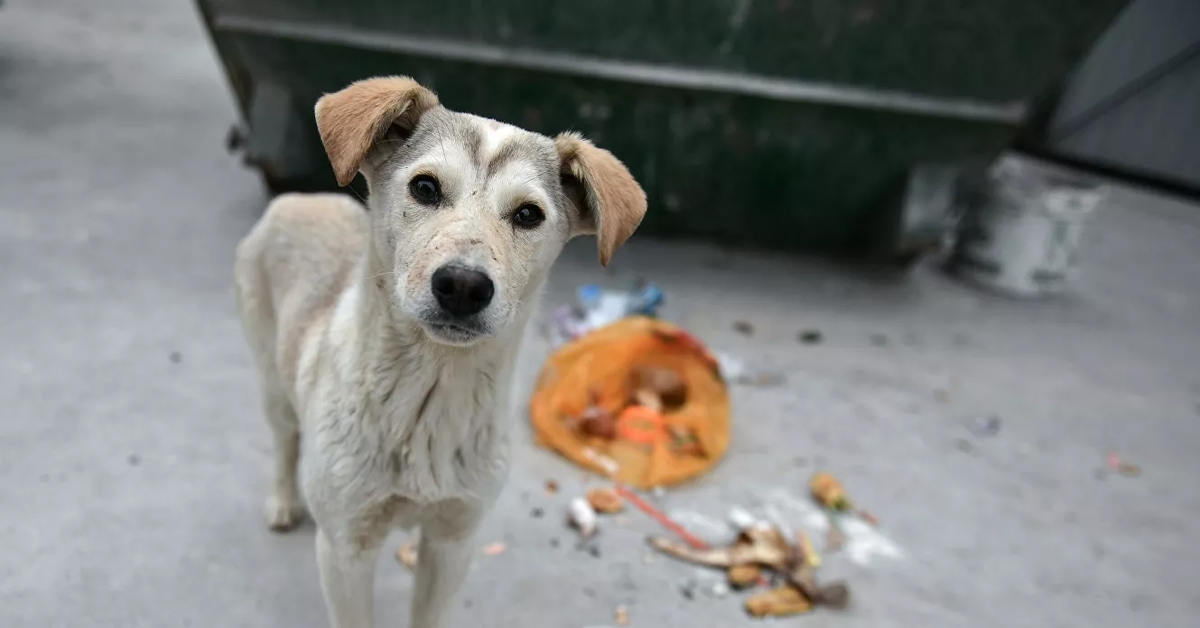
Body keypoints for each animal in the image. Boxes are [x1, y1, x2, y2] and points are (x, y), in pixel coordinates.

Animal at [234, 75, 648, 628]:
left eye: (528, 214)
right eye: (425, 187)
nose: (464, 286)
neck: (428, 397)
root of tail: (297, 197)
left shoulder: (453, 541)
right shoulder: (345, 547)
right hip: (271, 380)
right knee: (284, 440)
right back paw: (282, 502)